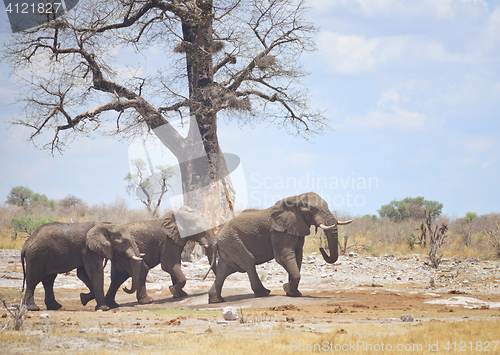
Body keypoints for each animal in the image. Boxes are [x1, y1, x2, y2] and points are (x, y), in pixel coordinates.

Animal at [81, 206, 216, 308]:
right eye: (199, 229)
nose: (204, 278)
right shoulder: (168, 241)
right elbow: (169, 265)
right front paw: (173, 290)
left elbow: (174, 265)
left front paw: (180, 294)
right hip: (125, 254)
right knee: (140, 270)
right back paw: (147, 301)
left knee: (118, 277)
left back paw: (111, 304)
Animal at [209, 192, 354, 304]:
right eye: (311, 210)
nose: (321, 249)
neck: (295, 199)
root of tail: (217, 237)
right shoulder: (279, 232)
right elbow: (284, 257)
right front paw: (287, 289)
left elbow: (298, 257)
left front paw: (294, 293)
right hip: (233, 241)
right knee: (248, 263)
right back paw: (264, 293)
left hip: (228, 244)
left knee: (224, 269)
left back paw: (216, 300)